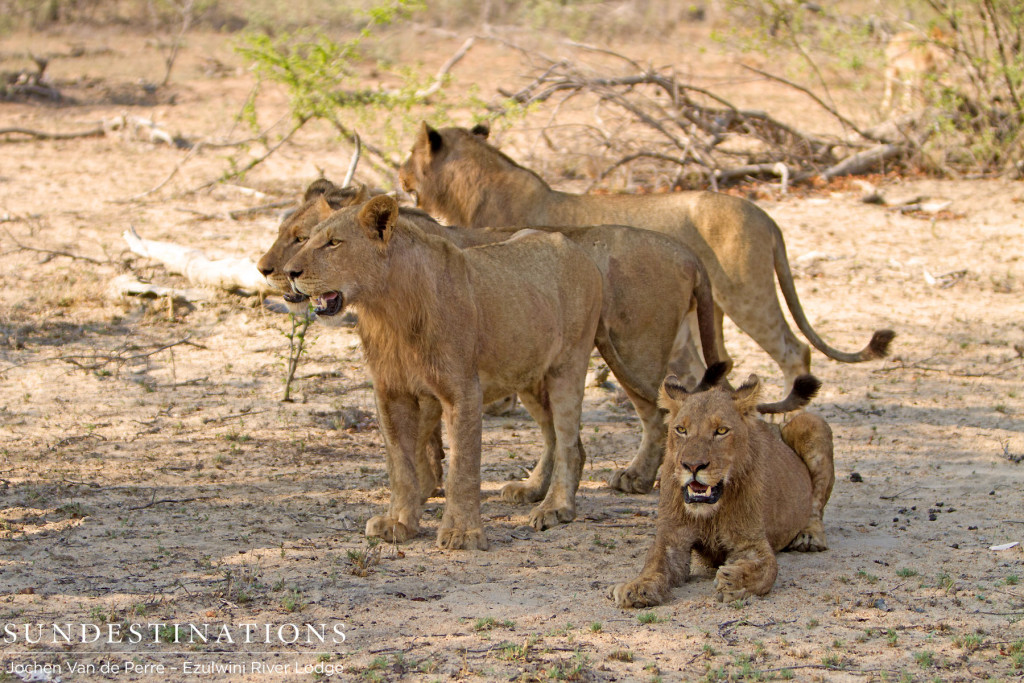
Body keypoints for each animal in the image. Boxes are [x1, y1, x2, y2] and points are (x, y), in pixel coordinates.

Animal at [280, 194, 602, 548]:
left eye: (334, 243)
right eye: (307, 239)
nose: (289, 272)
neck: (387, 310)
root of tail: (573, 246)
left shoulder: (463, 390)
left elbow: (462, 466)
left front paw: (462, 533)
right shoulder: (391, 393)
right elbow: (401, 464)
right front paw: (398, 522)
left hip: (567, 365)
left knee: (568, 440)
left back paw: (556, 507)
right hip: (527, 375)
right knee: (557, 436)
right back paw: (531, 489)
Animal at [395, 122, 892, 389]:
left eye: (409, 154)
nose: (399, 174)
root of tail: (766, 216)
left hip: (747, 295)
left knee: (794, 351)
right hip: (709, 310)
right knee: (719, 365)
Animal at [606, 366, 831, 606]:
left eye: (721, 431)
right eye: (681, 429)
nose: (692, 466)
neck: (710, 513)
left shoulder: (751, 542)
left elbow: (767, 569)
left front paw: (734, 580)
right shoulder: (671, 539)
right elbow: (653, 564)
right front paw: (637, 587)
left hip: (811, 423)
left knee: (816, 505)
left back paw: (809, 537)